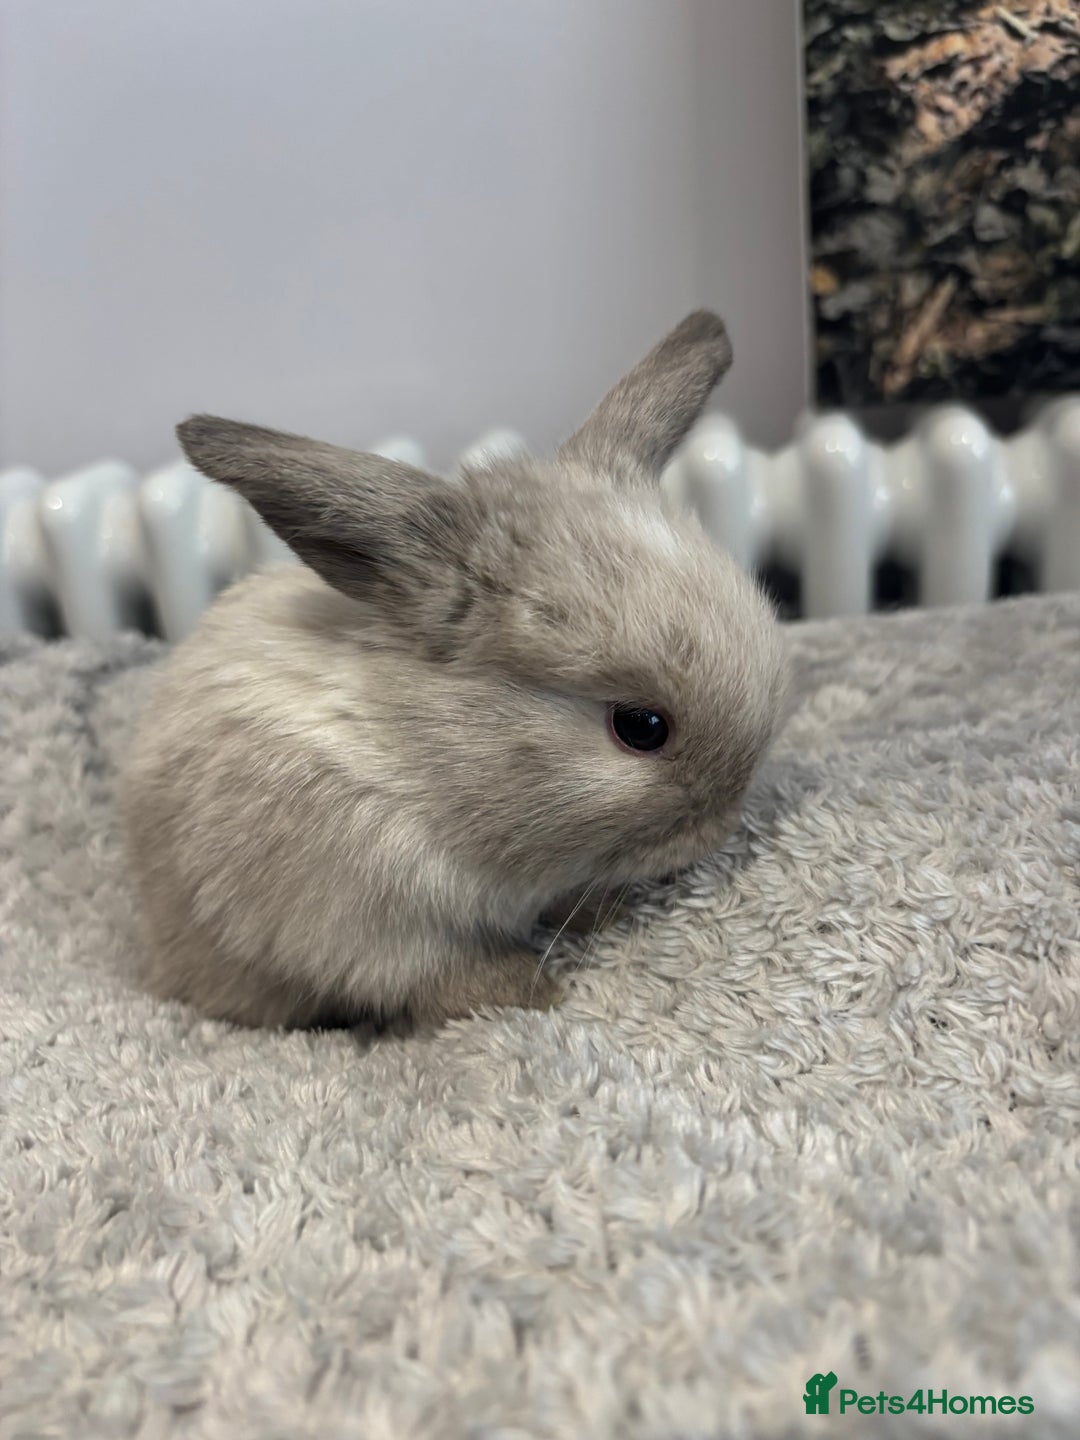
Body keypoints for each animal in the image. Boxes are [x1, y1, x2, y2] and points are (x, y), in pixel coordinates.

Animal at [122, 310, 790, 1029]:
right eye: (640, 727)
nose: (719, 828)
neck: (429, 760)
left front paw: (596, 914)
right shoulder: (370, 930)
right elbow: (444, 978)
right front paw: (540, 992)